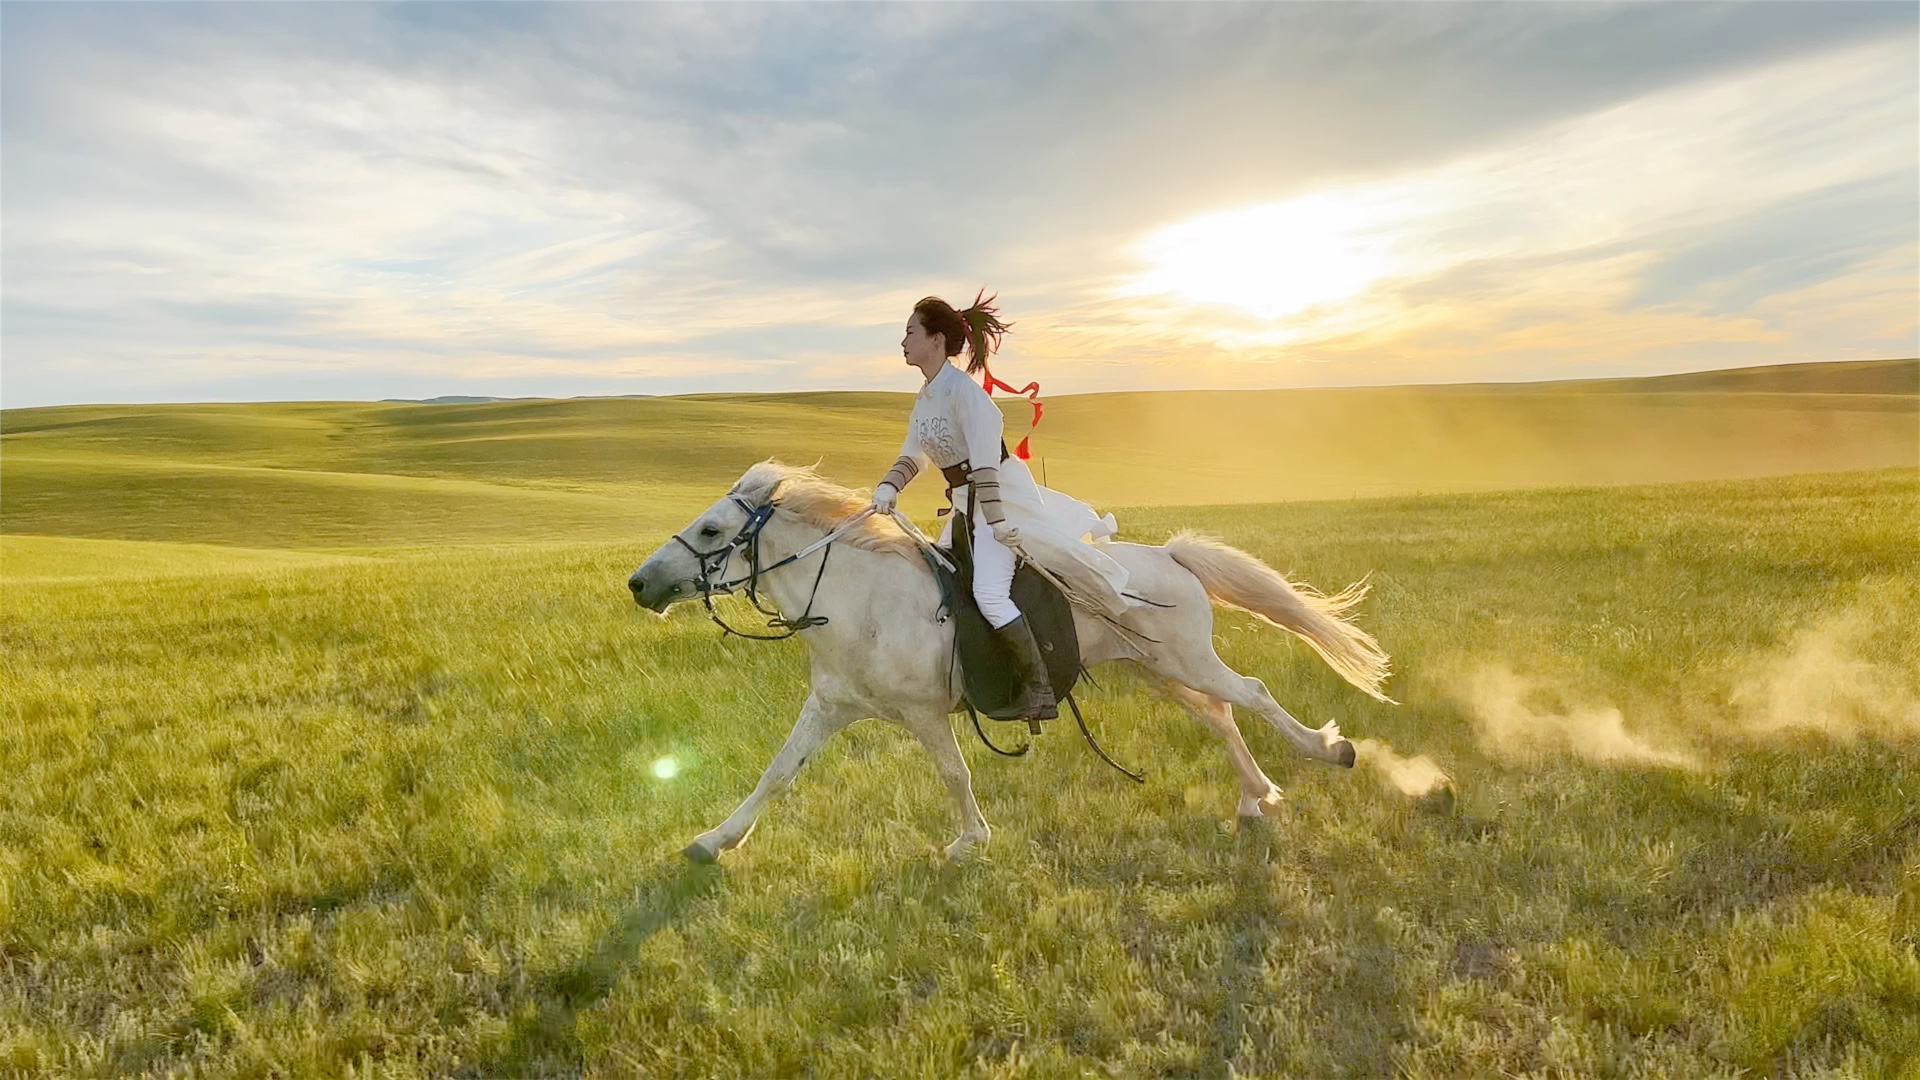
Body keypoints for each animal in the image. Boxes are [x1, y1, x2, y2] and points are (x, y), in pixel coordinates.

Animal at [629, 461, 1397, 857]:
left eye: (712, 529)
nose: (639, 584)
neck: (858, 599)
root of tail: (1170, 555)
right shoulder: (829, 708)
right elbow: (777, 773)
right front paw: (715, 839)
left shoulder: (924, 714)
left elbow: (954, 773)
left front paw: (969, 841)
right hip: (1157, 672)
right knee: (1220, 718)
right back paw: (1253, 797)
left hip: (1187, 663)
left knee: (1255, 693)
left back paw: (1329, 752)